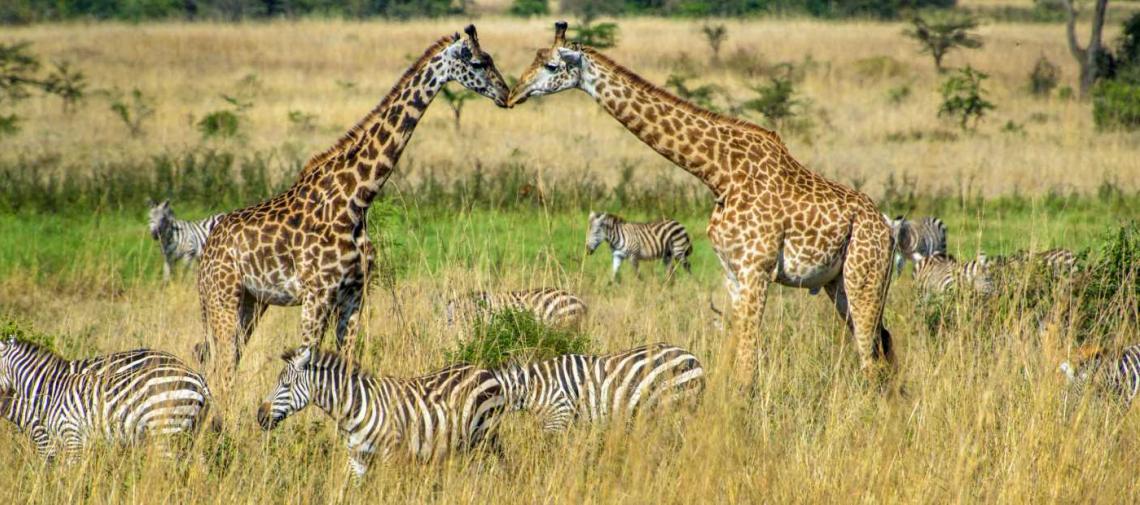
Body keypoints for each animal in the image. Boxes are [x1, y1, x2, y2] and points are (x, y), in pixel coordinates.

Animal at [257, 347, 508, 477]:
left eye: (286, 385)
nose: (260, 416)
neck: (354, 408)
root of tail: (483, 370)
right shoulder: (357, 459)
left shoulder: (389, 454)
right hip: (464, 443)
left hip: (486, 435)